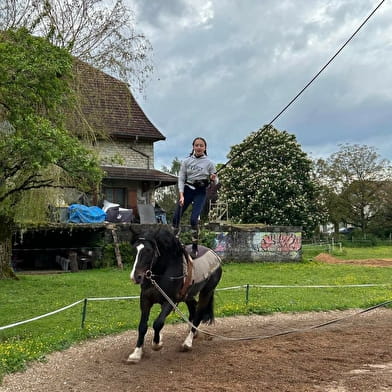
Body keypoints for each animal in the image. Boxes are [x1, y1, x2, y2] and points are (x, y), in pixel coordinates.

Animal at [127, 227, 222, 364]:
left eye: (149, 250)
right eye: (135, 249)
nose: (136, 277)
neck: (163, 271)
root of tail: (215, 255)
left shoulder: (170, 301)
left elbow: (158, 323)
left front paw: (157, 344)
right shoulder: (145, 300)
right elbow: (142, 326)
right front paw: (137, 353)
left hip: (206, 292)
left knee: (198, 314)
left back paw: (188, 342)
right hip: (188, 295)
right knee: (193, 309)